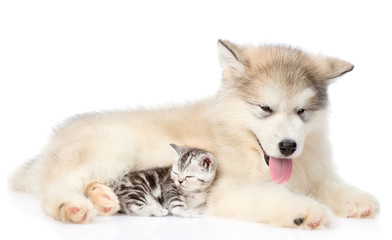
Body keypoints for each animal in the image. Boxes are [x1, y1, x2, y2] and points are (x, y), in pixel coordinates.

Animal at [9, 40, 380, 229]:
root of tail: (52, 141)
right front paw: (305, 211)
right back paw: (72, 206)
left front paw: (358, 201)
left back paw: (102, 198)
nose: (288, 147)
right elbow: (275, 196)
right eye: (265, 108)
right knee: (57, 186)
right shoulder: (229, 190)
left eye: (302, 112)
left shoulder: (313, 168)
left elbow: (329, 184)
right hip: (112, 150)